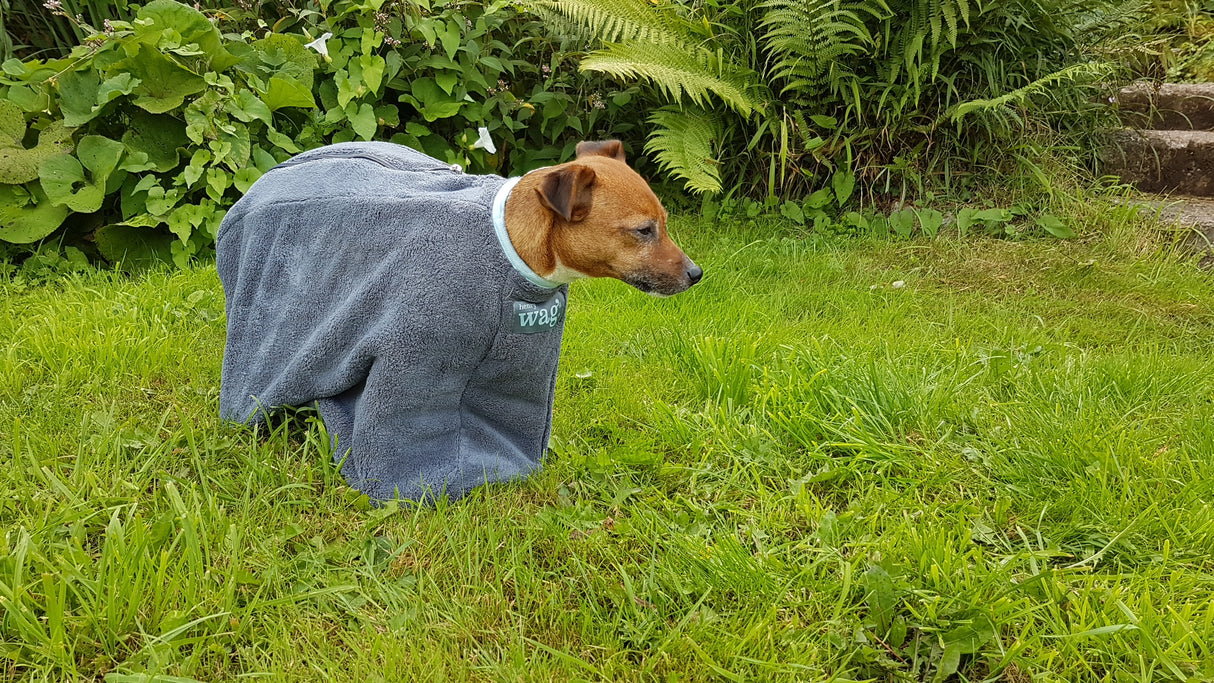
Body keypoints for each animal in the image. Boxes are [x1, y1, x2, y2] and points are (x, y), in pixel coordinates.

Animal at [213, 140, 699, 502]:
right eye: (643, 231)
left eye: (665, 222)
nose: (696, 274)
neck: (514, 248)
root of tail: (263, 179)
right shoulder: (415, 371)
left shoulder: (517, 374)